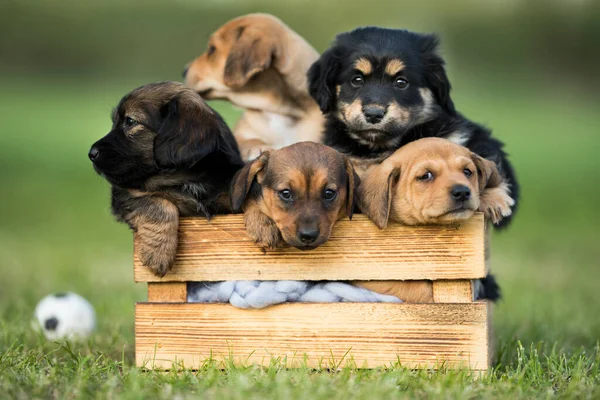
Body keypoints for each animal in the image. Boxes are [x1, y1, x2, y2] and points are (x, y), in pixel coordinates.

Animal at [88, 81, 243, 276]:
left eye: (130, 121)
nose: (91, 154)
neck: (186, 180)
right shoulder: (124, 192)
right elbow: (157, 202)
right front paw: (158, 253)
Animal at [184, 14, 326, 161]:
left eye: (212, 49)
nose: (184, 71)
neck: (281, 111)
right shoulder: (240, 133)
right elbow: (247, 140)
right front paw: (259, 147)